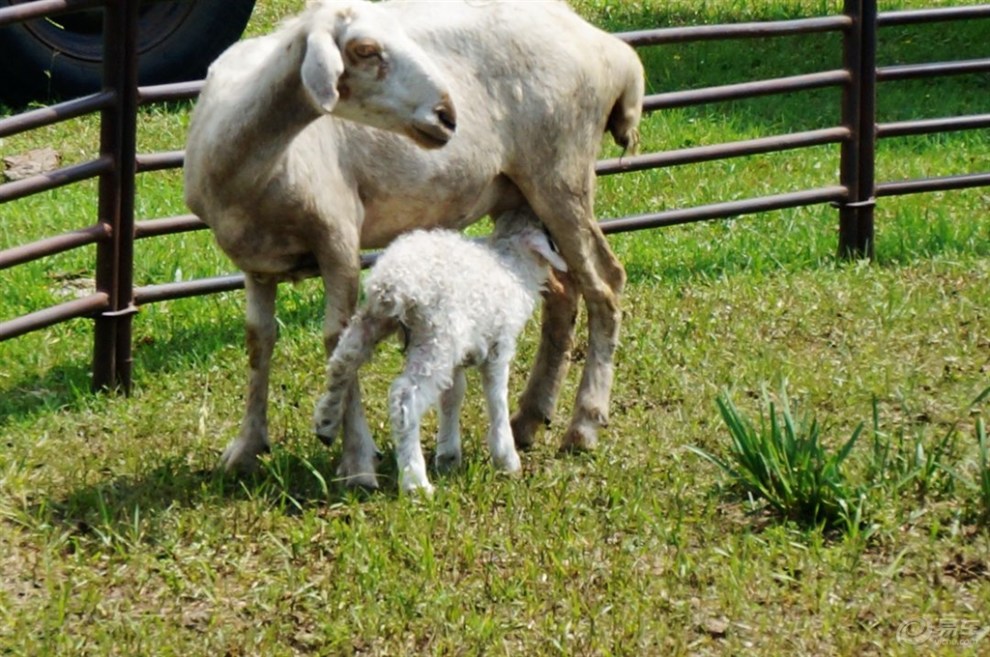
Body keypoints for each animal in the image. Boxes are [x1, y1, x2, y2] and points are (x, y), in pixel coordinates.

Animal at [314, 210, 568, 492]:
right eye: (547, 234)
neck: (513, 268)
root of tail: (394, 284)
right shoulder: (498, 347)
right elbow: (496, 398)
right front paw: (506, 459)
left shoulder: (457, 359)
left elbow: (452, 396)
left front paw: (448, 455)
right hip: (435, 337)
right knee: (404, 398)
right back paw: (415, 482)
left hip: (376, 321)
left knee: (342, 362)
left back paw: (327, 421)